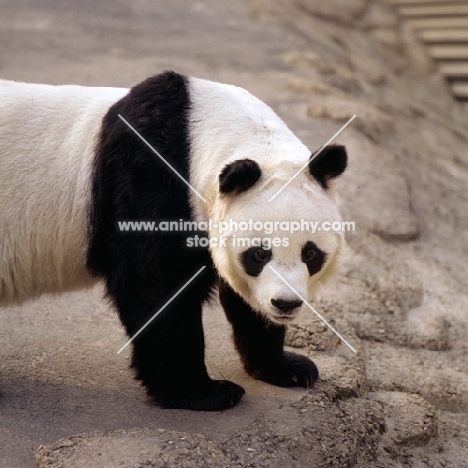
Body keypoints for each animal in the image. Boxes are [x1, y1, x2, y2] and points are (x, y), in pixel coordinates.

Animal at [0, 71, 348, 412]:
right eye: (259, 255)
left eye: (311, 254)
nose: (286, 304)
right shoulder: (146, 182)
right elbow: (154, 288)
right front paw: (203, 392)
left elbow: (242, 297)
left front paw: (286, 367)